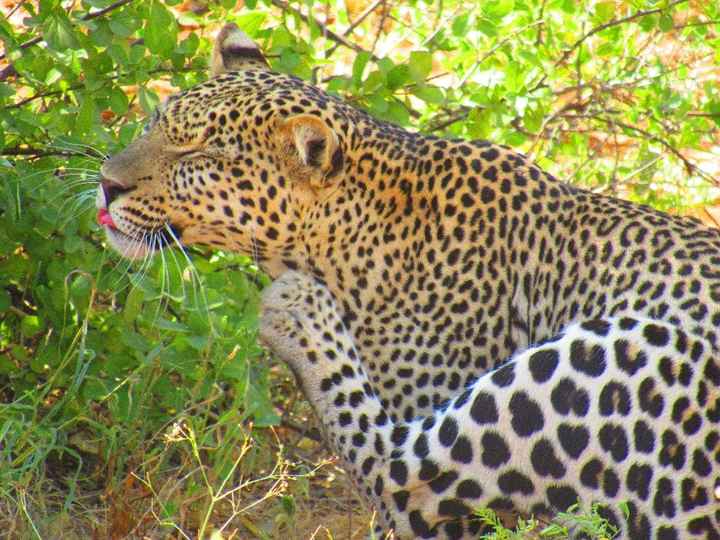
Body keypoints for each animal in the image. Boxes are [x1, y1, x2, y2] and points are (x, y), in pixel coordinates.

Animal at [96, 23, 720, 537]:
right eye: (156, 122)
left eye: (198, 155)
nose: (106, 184)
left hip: (632, 351)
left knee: (399, 475)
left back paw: (298, 314)